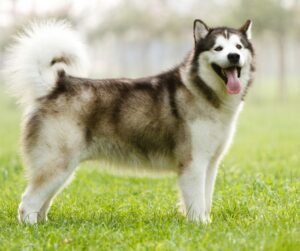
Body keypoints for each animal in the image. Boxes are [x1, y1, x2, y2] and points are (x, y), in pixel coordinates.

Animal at [3, 19, 254, 224]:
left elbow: (206, 199)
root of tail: (57, 84)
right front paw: (199, 225)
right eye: (218, 48)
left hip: (62, 169)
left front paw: (206, 222)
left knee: (42, 202)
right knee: (27, 202)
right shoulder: (193, 163)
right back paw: (32, 227)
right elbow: (196, 201)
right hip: (57, 163)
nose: (233, 57)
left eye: (239, 47)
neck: (204, 91)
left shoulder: (209, 163)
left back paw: (44, 224)